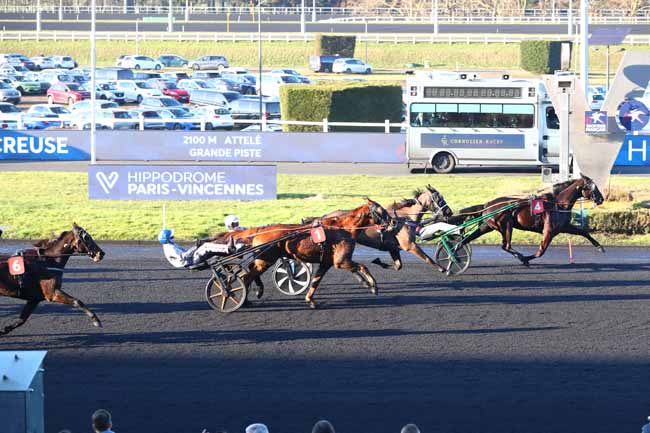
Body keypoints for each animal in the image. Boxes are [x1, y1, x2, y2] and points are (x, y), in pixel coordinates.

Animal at [450, 174, 604, 264]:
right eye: (592, 187)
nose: (601, 199)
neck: (557, 203)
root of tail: (487, 205)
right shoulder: (549, 230)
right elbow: (541, 251)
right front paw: (526, 259)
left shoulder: (564, 226)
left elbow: (583, 232)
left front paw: (600, 247)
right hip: (506, 225)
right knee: (506, 245)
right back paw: (521, 257)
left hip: (487, 226)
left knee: (468, 239)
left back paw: (455, 251)